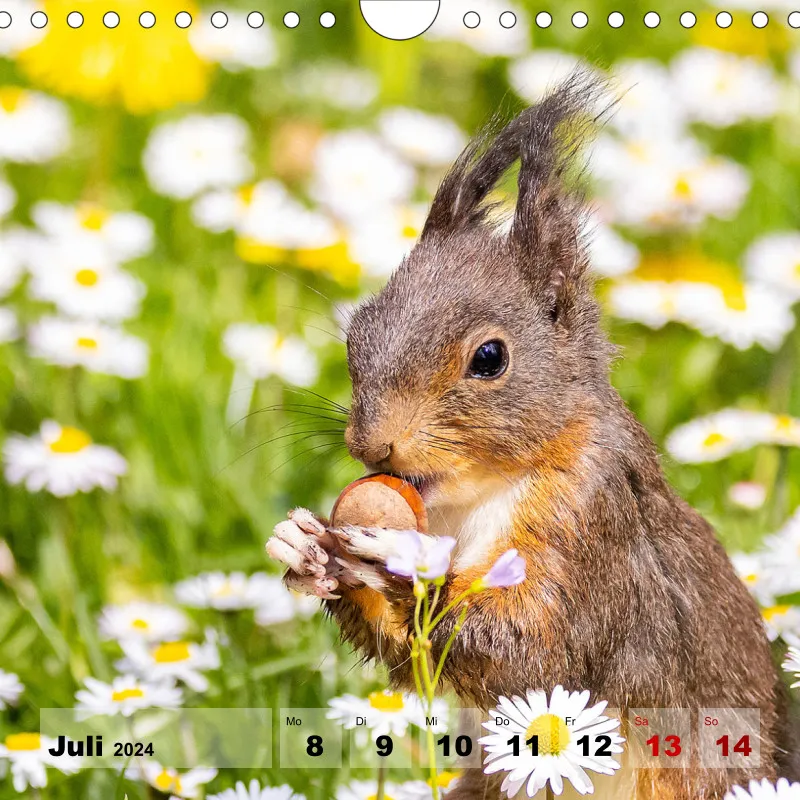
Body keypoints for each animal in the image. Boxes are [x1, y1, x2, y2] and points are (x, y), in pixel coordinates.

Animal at [266, 75, 799, 799]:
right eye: (357, 332)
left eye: (490, 358)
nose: (372, 446)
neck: (477, 495)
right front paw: (302, 548)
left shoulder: (593, 533)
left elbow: (531, 651)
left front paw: (395, 561)